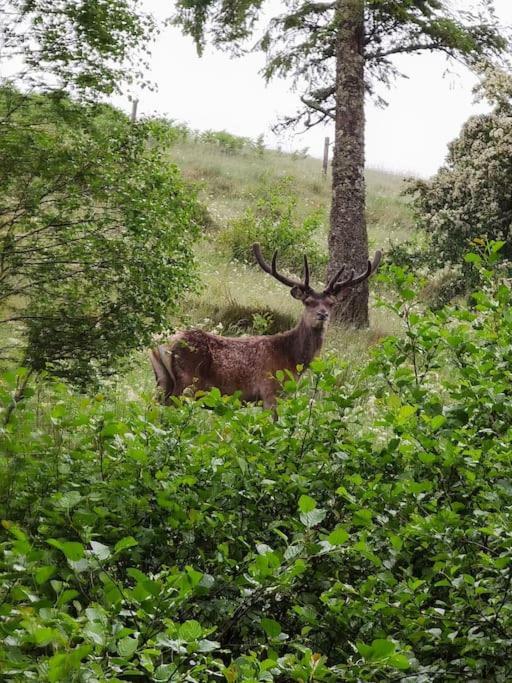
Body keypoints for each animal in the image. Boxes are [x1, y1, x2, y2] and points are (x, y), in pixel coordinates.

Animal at [150, 243, 382, 408]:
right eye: (308, 302)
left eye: (331, 303)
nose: (322, 314)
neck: (292, 359)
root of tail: (159, 344)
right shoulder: (272, 391)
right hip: (186, 382)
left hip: (162, 381)